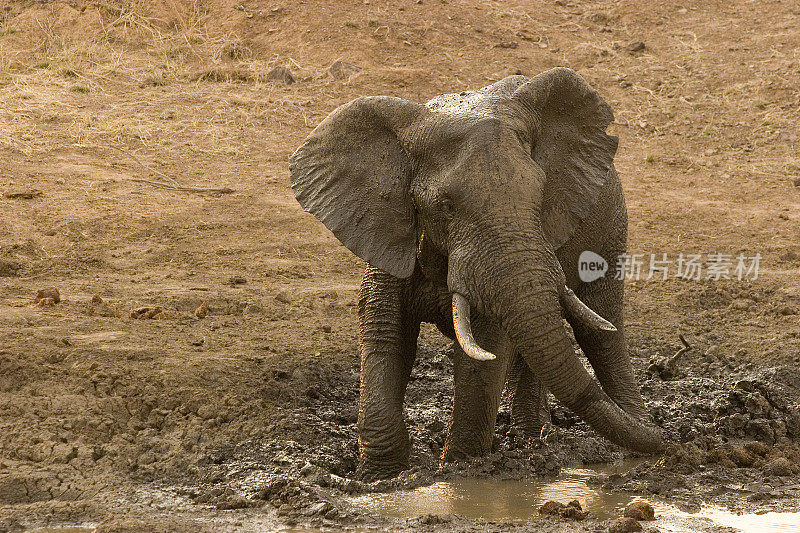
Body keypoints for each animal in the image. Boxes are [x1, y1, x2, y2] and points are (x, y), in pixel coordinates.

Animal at [288, 67, 664, 482]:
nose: (671, 445)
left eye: (540, 195)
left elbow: (485, 348)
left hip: (609, 225)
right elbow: (386, 335)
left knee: (599, 330)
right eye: (445, 206)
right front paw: (381, 477)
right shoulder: (386, 228)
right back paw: (538, 445)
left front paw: (460, 472)